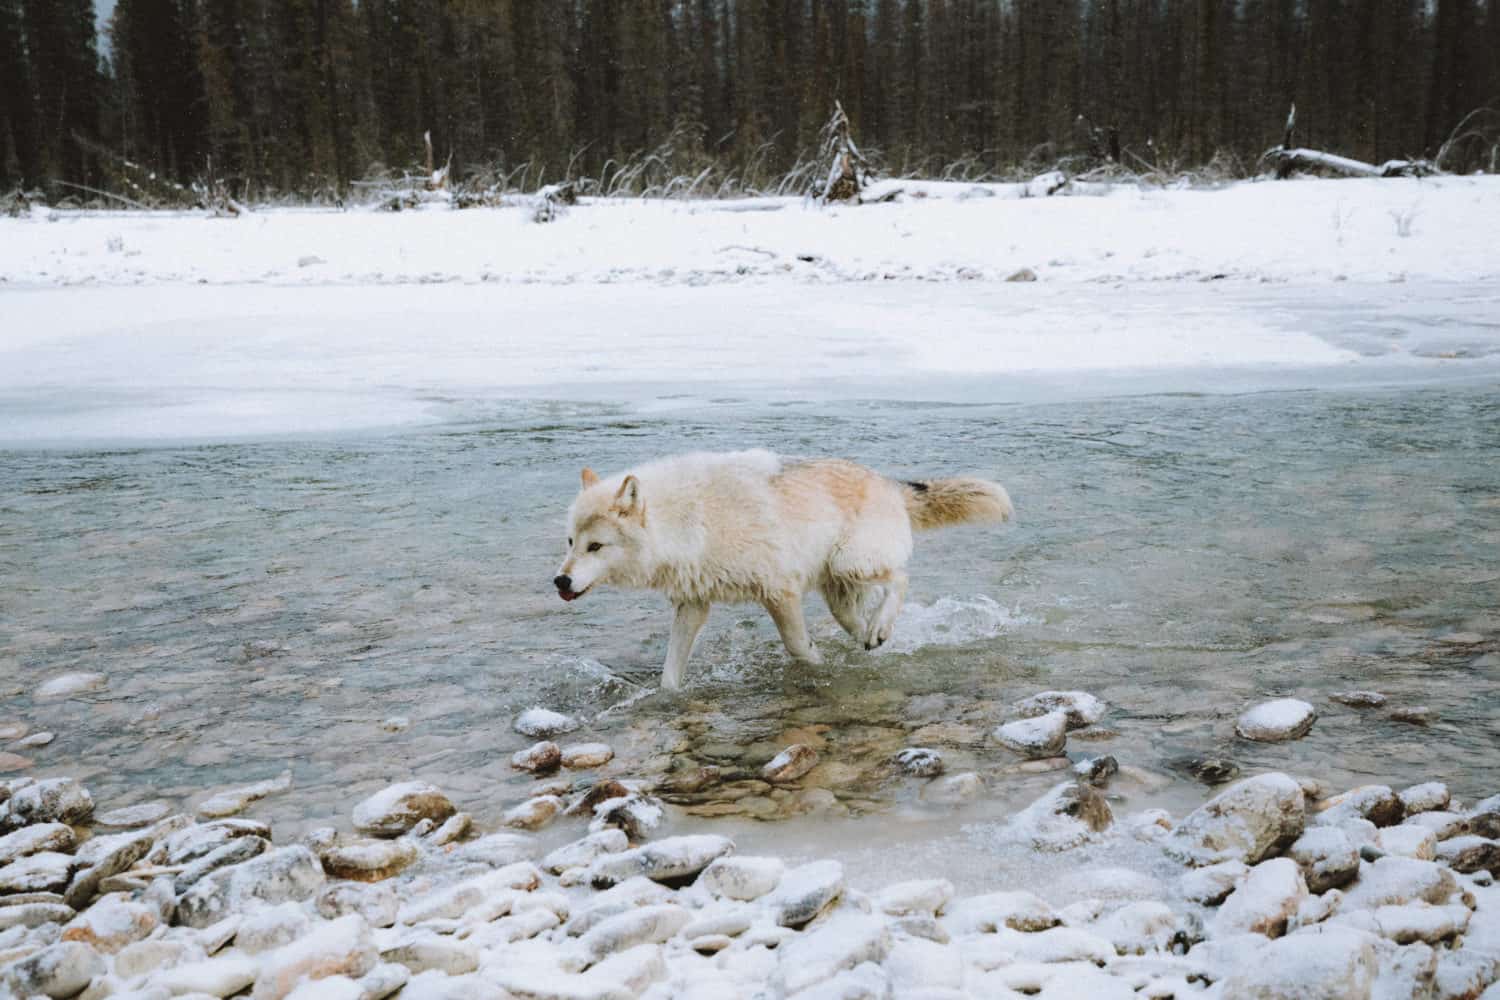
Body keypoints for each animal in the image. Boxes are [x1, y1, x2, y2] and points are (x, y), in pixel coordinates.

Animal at [558, 452, 1014, 692]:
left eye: (596, 546)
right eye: (570, 542)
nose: (560, 581)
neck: (690, 519)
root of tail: (890, 483)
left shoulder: (779, 591)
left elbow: (797, 646)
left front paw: (818, 666)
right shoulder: (693, 605)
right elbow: (670, 676)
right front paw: (666, 699)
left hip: (851, 562)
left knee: (901, 578)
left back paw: (880, 630)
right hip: (839, 589)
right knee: (860, 619)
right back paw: (873, 638)